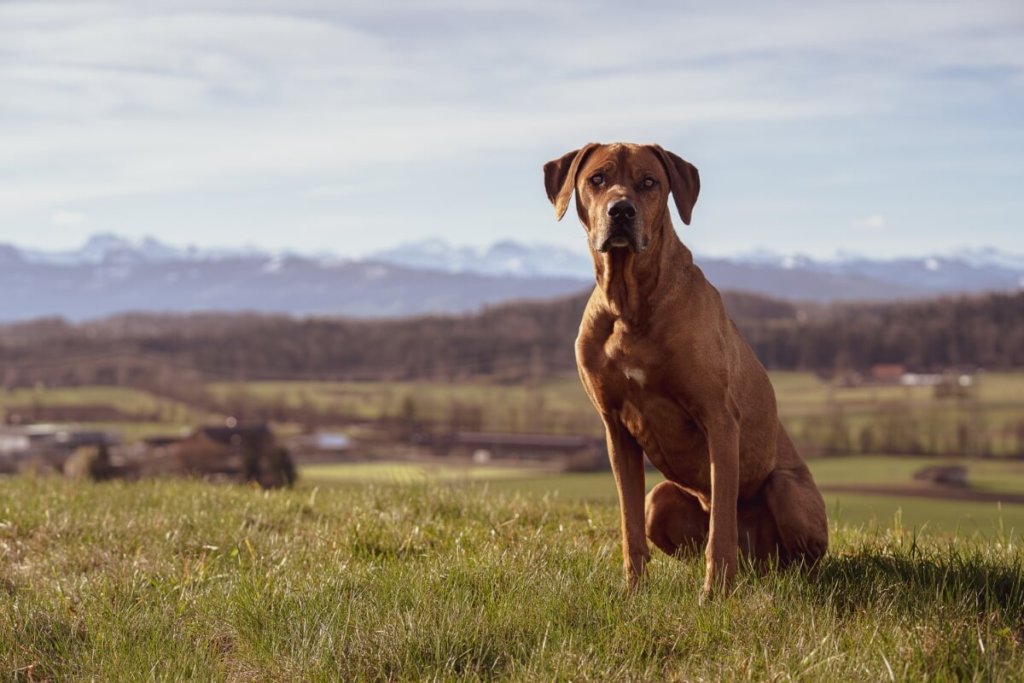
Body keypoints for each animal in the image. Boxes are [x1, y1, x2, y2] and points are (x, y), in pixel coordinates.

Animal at [540, 144, 827, 598]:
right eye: (597, 179)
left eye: (649, 182)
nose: (621, 211)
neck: (630, 303)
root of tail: (759, 565)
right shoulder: (615, 428)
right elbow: (630, 527)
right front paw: (633, 593)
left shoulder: (719, 418)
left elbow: (721, 528)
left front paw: (714, 595)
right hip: (660, 500)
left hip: (786, 489)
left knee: (800, 559)